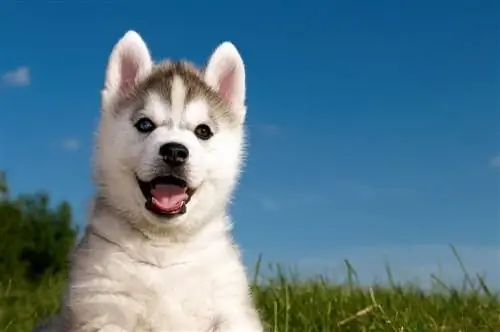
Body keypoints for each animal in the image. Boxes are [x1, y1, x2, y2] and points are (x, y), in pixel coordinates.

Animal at [34, 31, 264, 332]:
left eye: (203, 131)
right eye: (145, 125)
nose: (174, 151)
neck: (165, 248)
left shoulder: (231, 307)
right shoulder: (103, 309)